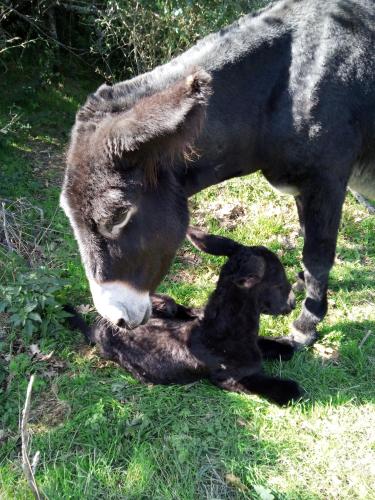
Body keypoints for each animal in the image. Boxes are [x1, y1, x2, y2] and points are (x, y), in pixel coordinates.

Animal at [67, 229, 302, 406]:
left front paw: (285, 347)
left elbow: (274, 346)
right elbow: (285, 389)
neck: (223, 333)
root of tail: (96, 328)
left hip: (165, 304)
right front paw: (294, 389)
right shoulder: (229, 378)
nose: (292, 304)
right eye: (278, 284)